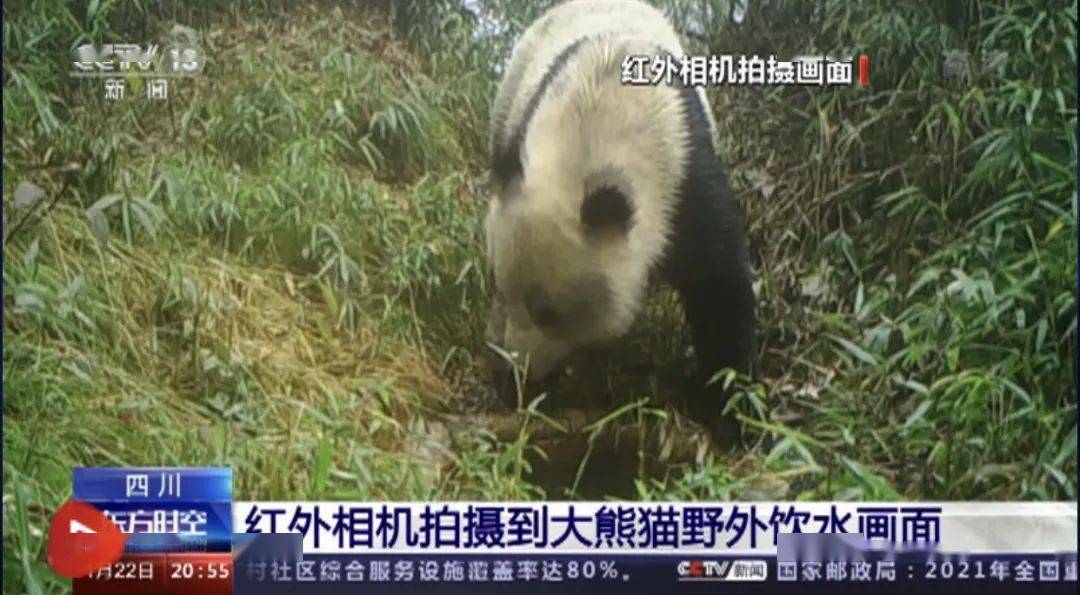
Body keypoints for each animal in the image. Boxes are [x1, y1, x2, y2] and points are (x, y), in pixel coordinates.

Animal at [486, 0, 756, 438]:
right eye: (498, 286)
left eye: (547, 312)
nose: (516, 376)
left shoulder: (685, 179)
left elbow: (718, 285)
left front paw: (731, 415)